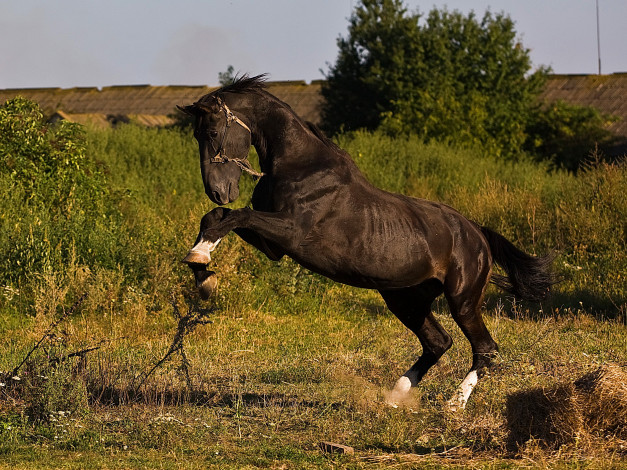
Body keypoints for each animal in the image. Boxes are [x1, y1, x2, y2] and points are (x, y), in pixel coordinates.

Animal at [179, 75, 556, 410]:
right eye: (197, 134)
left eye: (212, 132)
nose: (218, 190)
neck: (299, 165)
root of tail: (478, 234)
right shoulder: (275, 247)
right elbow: (216, 218)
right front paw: (202, 271)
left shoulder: (291, 233)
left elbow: (237, 216)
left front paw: (201, 263)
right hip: (405, 299)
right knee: (438, 342)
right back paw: (394, 396)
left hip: (462, 300)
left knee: (485, 348)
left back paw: (454, 403)